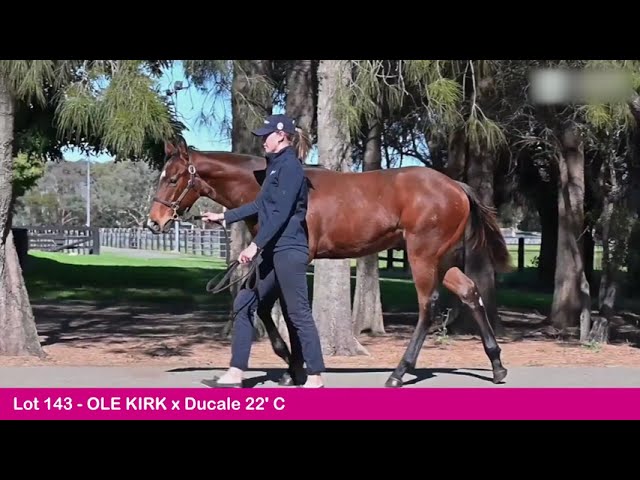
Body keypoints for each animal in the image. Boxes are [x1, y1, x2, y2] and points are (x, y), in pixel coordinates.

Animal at [145, 134, 510, 386]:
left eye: (173, 178)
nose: (154, 223)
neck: (267, 189)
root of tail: (456, 187)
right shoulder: (271, 259)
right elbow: (264, 307)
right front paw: (290, 366)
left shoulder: (294, 259)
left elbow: (288, 311)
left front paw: (296, 368)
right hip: (442, 260)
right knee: (470, 293)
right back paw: (497, 366)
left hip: (422, 256)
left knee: (428, 307)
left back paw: (398, 373)